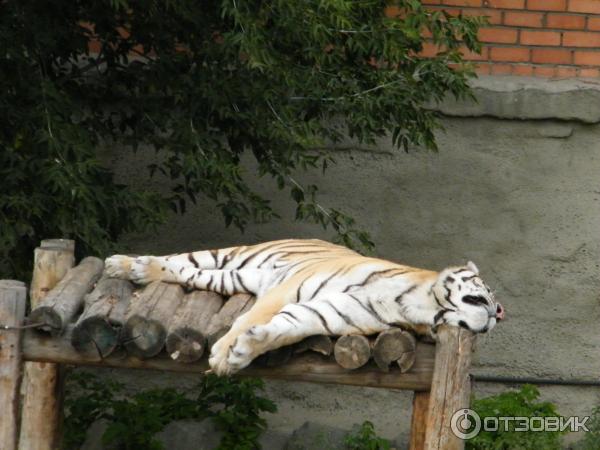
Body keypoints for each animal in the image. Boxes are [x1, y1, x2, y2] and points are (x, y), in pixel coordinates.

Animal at [105, 239, 504, 376]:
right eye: (485, 291)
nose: (501, 312)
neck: (416, 306)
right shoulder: (287, 289)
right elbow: (250, 318)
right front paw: (221, 355)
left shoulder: (325, 312)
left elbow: (282, 329)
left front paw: (241, 353)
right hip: (232, 255)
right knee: (179, 259)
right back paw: (125, 265)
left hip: (234, 277)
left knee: (193, 274)